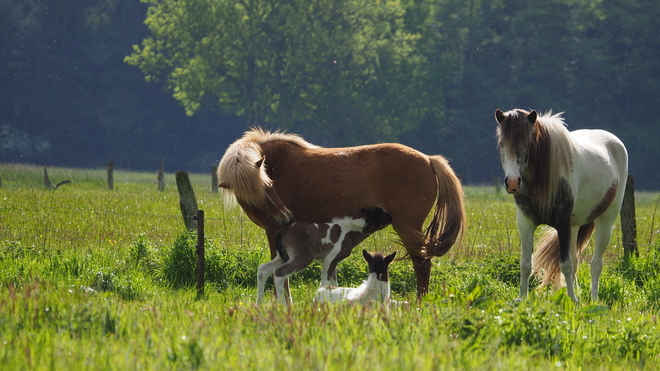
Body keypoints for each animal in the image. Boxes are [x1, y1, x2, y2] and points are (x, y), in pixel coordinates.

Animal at [256, 206, 392, 306]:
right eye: (380, 214)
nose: (391, 217)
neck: (350, 232)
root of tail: (282, 232)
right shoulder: (329, 259)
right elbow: (325, 283)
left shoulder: (334, 262)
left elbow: (333, 283)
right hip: (303, 258)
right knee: (279, 272)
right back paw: (283, 306)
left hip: (283, 257)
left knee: (263, 269)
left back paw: (259, 304)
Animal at [496, 109, 628, 304]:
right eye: (502, 143)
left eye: (528, 143)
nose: (512, 182)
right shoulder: (526, 223)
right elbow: (526, 264)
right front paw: (522, 299)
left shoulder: (562, 223)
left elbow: (565, 264)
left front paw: (572, 300)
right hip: (575, 226)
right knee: (576, 260)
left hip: (605, 221)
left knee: (596, 263)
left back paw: (594, 299)